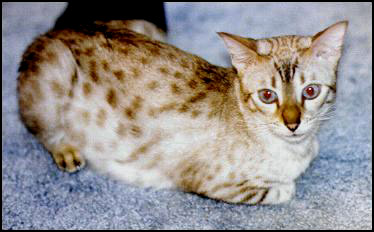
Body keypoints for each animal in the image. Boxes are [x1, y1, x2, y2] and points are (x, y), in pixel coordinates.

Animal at [17, 20, 348, 205]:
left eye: (311, 91)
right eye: (268, 96)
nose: (293, 124)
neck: (295, 150)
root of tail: (49, 32)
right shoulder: (206, 180)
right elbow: (278, 191)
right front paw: (287, 186)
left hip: (148, 27)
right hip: (56, 69)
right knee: (40, 128)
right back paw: (67, 152)